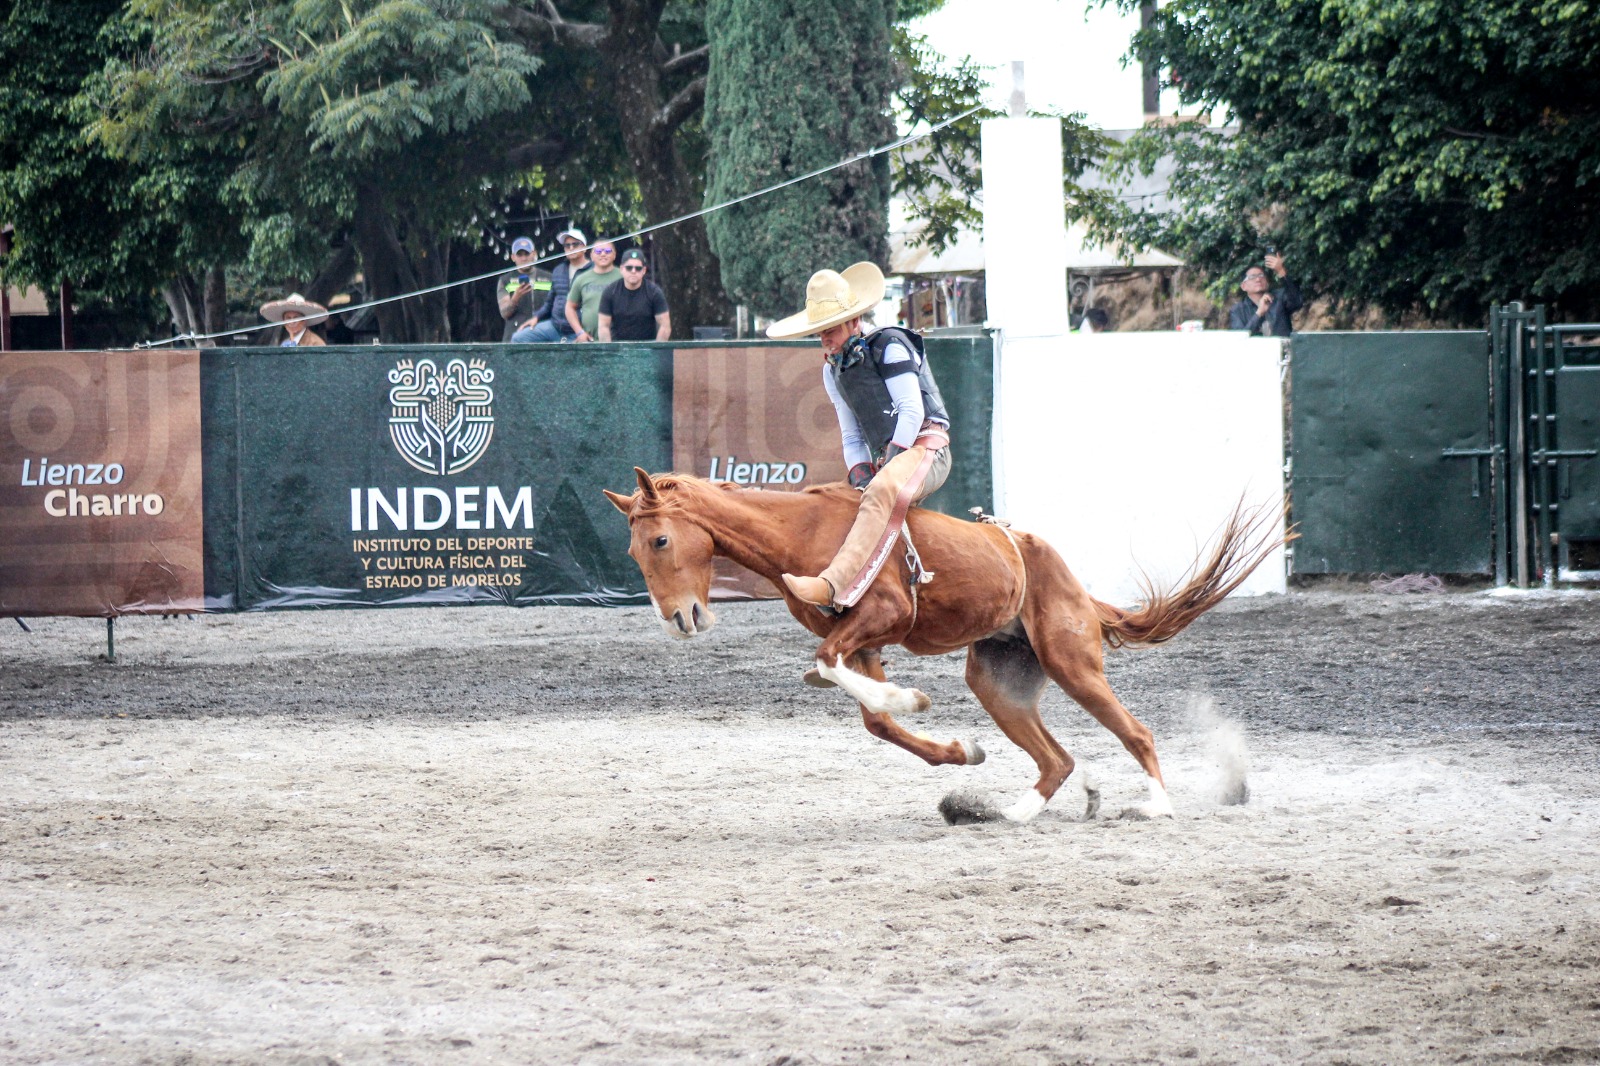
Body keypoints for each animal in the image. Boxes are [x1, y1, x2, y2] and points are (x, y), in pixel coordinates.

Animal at [604, 464, 1280, 819]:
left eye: (660, 540)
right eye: (633, 550)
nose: (680, 618)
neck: (803, 533)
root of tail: (1077, 588)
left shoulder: (883, 616)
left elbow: (831, 666)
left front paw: (914, 701)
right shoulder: (866, 644)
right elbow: (872, 716)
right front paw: (962, 749)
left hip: (1072, 664)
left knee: (1135, 732)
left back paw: (1156, 804)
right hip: (999, 683)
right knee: (1056, 760)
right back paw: (1018, 811)